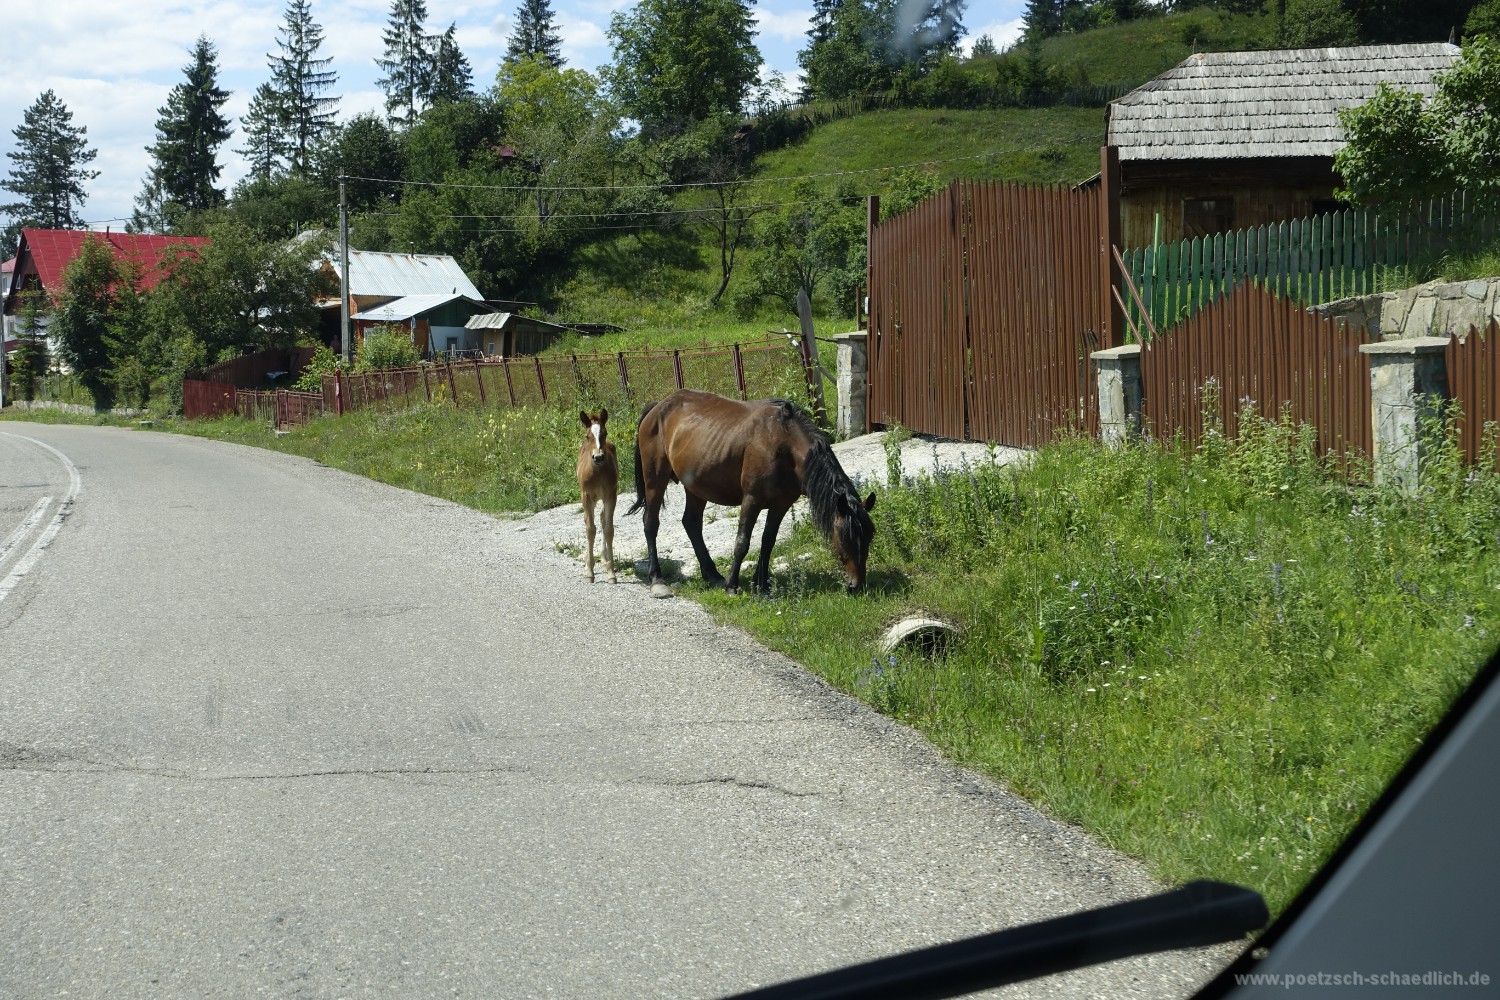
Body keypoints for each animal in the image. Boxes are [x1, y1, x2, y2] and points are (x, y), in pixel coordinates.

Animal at [625, 389, 876, 595]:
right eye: (844, 539)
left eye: (869, 538)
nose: (857, 585)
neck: (784, 446)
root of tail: (658, 407)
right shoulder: (751, 500)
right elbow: (742, 542)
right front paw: (732, 585)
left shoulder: (781, 505)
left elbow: (768, 541)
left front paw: (761, 584)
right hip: (655, 479)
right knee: (651, 523)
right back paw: (657, 578)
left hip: (696, 487)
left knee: (692, 523)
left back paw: (712, 574)